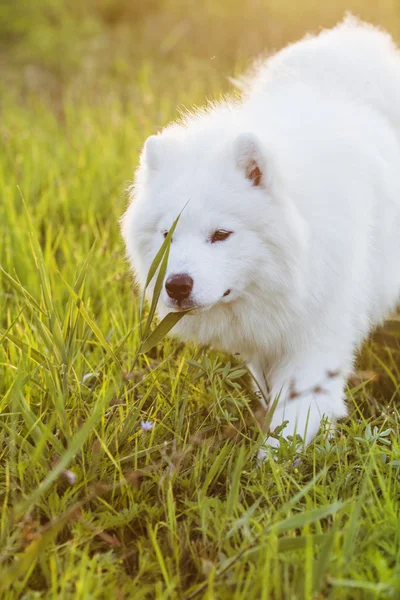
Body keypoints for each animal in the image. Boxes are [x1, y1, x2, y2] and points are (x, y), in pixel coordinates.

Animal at [121, 18, 400, 458]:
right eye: (168, 235)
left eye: (221, 234)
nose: (177, 285)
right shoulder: (259, 341)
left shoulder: (315, 340)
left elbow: (293, 422)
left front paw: (270, 465)